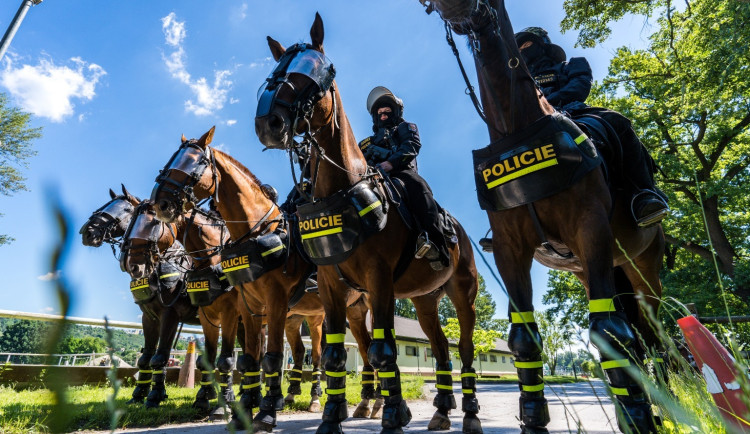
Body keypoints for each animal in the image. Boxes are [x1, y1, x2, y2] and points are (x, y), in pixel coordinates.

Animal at [148, 131, 382, 430]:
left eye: (195, 161)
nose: (160, 203)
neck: (254, 232)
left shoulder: (273, 303)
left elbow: (269, 359)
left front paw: (265, 411)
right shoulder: (247, 308)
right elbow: (248, 360)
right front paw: (242, 410)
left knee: (349, 351)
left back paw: (362, 401)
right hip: (350, 310)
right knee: (361, 349)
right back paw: (363, 402)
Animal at [256, 14, 484, 434]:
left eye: (312, 69)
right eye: (276, 69)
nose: (268, 123)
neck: (342, 189)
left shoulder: (379, 281)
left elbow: (383, 349)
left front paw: (393, 413)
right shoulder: (331, 285)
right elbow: (332, 356)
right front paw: (332, 417)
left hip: (463, 293)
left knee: (464, 348)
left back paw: (470, 413)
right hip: (425, 301)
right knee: (440, 348)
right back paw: (443, 409)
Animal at [424, 1, 668, 432]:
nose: (455, 6)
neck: (518, 128)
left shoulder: (591, 230)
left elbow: (608, 331)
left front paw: (640, 417)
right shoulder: (510, 249)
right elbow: (525, 338)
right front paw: (533, 417)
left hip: (642, 264)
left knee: (651, 334)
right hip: (592, 269)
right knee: (634, 339)